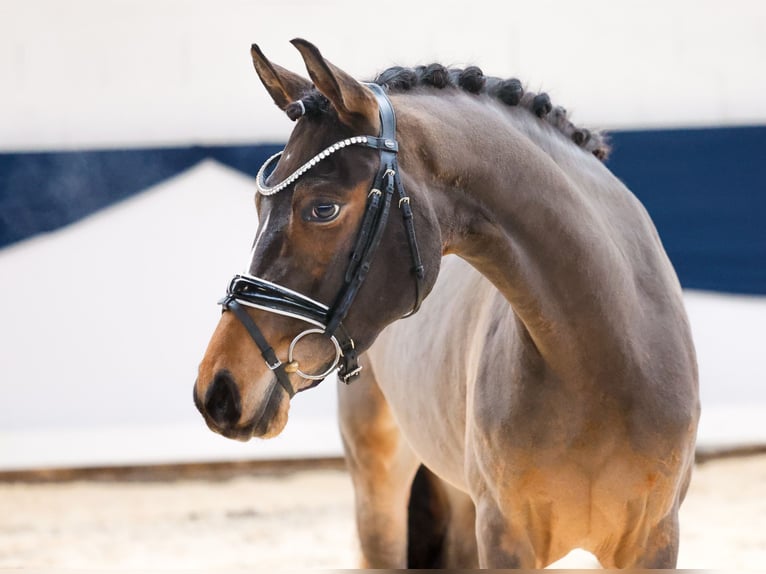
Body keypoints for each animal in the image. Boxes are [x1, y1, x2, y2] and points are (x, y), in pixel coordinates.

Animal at [194, 40, 704, 572]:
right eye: (258, 205)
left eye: (323, 208)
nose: (219, 390)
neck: (602, 356)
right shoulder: (504, 538)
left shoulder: (653, 541)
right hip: (379, 488)